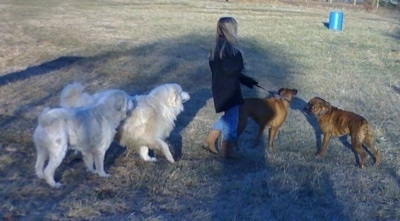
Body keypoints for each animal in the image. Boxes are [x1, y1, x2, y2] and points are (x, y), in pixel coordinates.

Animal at [59, 82, 191, 162]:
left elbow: (144, 150)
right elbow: (164, 146)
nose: (189, 94)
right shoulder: (151, 137)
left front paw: (148, 159)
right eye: (181, 92)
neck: (160, 106)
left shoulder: (143, 137)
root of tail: (88, 99)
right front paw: (171, 158)